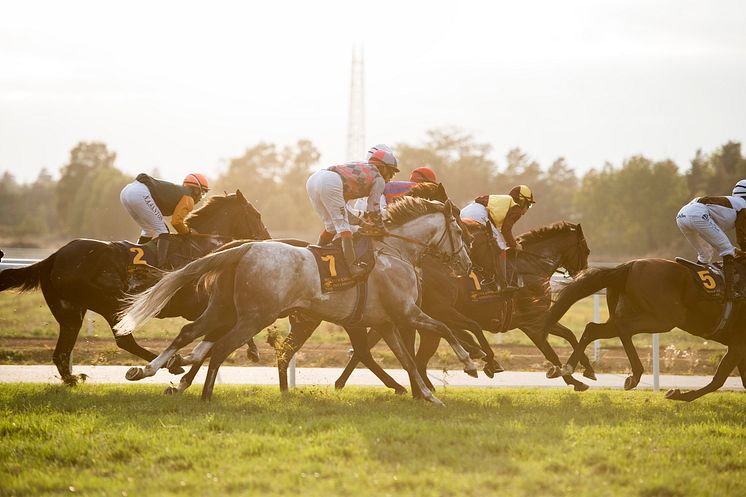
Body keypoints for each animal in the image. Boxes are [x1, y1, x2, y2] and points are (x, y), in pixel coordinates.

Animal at [0, 190, 270, 384]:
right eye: (256, 215)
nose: (267, 239)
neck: (203, 247)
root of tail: (55, 257)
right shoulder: (197, 306)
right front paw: (253, 350)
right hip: (111, 304)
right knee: (124, 342)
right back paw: (169, 364)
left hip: (71, 313)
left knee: (61, 352)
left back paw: (73, 379)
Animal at [116, 198, 474, 404]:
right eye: (459, 230)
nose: (466, 264)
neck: (395, 251)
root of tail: (245, 247)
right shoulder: (407, 312)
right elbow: (445, 328)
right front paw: (470, 363)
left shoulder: (386, 322)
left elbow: (407, 359)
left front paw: (428, 395)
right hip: (254, 316)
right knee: (220, 348)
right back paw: (203, 394)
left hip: (223, 309)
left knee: (189, 333)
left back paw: (149, 371)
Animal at [540, 258, 744, 402]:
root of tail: (630, 266)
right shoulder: (738, 343)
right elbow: (719, 380)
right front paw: (677, 394)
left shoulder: (738, 346)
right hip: (664, 319)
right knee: (623, 328)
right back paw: (634, 375)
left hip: (630, 314)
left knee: (594, 329)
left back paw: (570, 369)